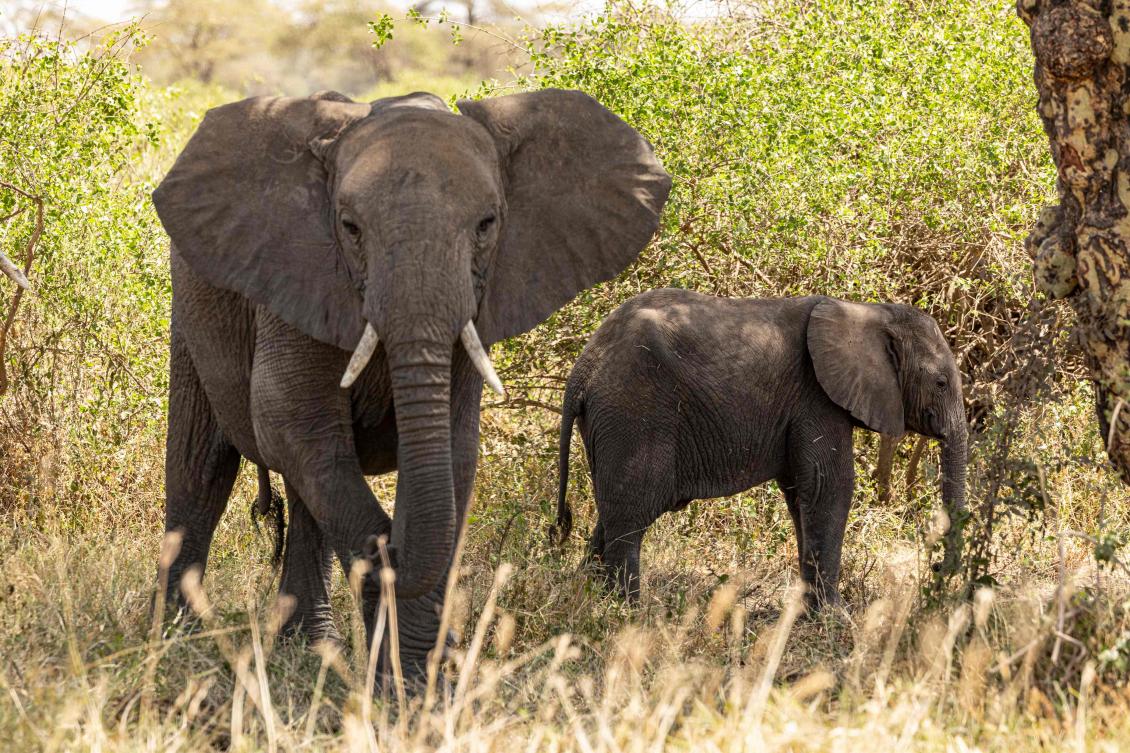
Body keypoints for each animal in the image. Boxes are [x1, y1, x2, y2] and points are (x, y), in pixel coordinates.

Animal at [151, 88, 671, 678]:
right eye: (350, 227)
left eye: (487, 224)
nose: (391, 554)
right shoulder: (296, 275)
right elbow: (285, 418)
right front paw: (401, 647)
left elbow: (452, 451)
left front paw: (419, 673)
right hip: (192, 310)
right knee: (203, 465)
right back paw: (177, 641)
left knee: (305, 488)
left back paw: (310, 648)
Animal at [554, 289, 968, 608]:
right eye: (941, 383)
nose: (936, 569)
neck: (867, 310)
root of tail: (582, 369)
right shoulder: (817, 397)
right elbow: (829, 487)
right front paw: (833, 616)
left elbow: (801, 494)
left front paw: (807, 612)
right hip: (633, 411)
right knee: (630, 517)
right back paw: (628, 614)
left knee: (612, 514)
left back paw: (589, 599)